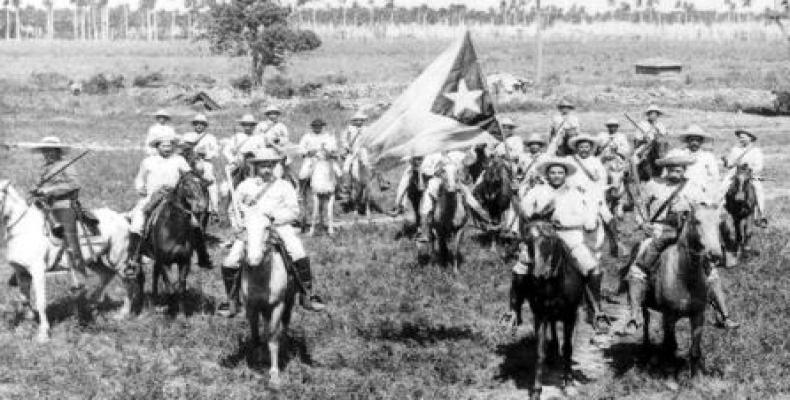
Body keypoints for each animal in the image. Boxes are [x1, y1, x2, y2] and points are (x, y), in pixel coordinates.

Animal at [0, 180, 131, 342]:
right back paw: (92, 303)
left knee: (128, 282)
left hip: (118, 258)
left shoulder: (38, 272)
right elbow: (24, 299)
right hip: (93, 261)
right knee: (107, 274)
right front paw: (27, 321)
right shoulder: (21, 272)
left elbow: (41, 302)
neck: (22, 227)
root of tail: (122, 217)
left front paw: (43, 334)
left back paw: (122, 313)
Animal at [135, 171, 212, 316]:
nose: (201, 207)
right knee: (140, 277)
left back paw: (156, 301)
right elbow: (170, 287)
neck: (173, 230)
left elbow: (180, 288)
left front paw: (181, 313)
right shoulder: (165, 262)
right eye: (186, 184)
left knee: (155, 274)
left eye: (204, 186)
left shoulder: (184, 261)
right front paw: (171, 311)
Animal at [241, 208, 296, 386]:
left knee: (283, 327)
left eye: (267, 227)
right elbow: (256, 336)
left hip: (288, 304)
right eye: (244, 227)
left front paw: (274, 374)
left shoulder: (278, 305)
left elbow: (273, 336)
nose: (253, 259)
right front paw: (257, 364)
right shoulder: (251, 306)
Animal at [520, 220, 588, 398]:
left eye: (550, 240)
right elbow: (540, 352)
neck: (555, 283)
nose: (538, 275)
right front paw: (536, 390)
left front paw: (568, 383)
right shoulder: (540, 316)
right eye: (528, 241)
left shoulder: (570, 315)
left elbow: (568, 348)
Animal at [628, 203, 728, 376]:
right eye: (697, 221)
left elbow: (694, 351)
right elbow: (670, 347)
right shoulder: (669, 316)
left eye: (718, 223)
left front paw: (695, 377)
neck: (685, 276)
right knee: (646, 321)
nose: (715, 254)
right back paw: (645, 346)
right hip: (644, 300)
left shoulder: (697, 316)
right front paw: (669, 374)